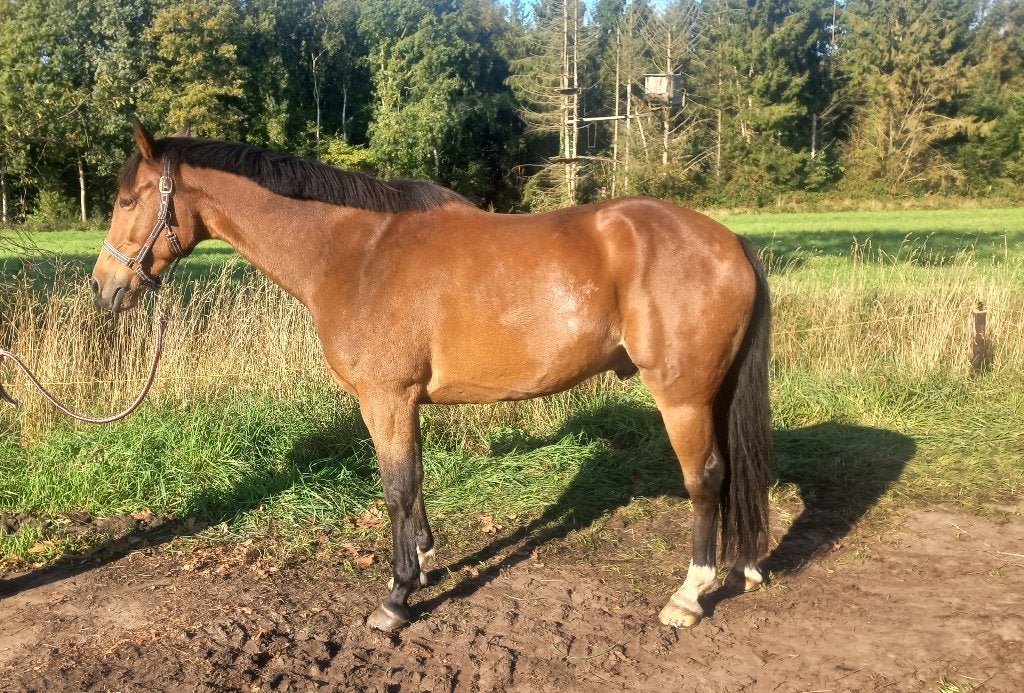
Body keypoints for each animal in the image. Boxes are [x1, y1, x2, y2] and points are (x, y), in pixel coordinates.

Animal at [91, 119, 773, 631]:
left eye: (127, 200)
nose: (104, 288)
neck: (354, 254)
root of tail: (730, 241)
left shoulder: (385, 399)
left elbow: (396, 489)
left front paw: (396, 599)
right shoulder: (403, 403)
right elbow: (414, 486)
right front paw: (423, 559)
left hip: (682, 397)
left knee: (707, 478)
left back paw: (689, 596)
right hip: (711, 394)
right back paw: (743, 567)